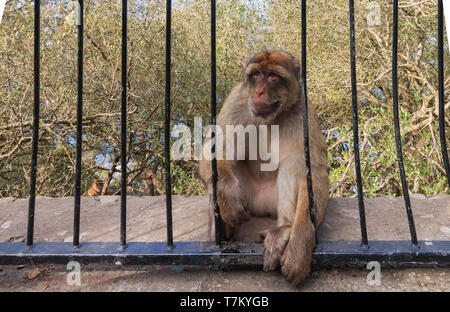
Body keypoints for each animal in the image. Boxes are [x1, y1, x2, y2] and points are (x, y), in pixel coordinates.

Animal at [199, 50, 328, 286]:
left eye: (273, 76)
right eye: (257, 74)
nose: (259, 92)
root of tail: (262, 206)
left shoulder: (304, 113)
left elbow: (312, 171)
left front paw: (300, 246)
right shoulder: (237, 101)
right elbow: (214, 148)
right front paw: (228, 196)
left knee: (293, 165)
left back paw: (285, 229)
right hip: (248, 199)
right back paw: (221, 228)